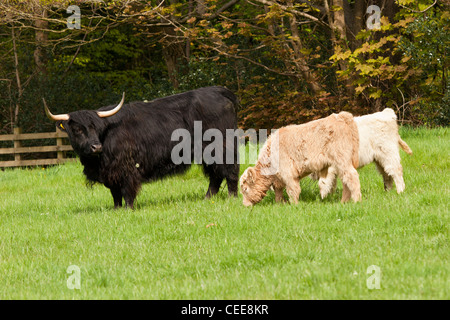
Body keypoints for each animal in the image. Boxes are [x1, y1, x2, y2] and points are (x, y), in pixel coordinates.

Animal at [44, 86, 241, 209]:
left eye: (95, 127)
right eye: (77, 129)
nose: (96, 146)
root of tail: (218, 91)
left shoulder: (127, 167)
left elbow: (127, 190)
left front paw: (128, 208)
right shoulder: (110, 172)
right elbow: (115, 193)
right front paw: (116, 209)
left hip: (222, 147)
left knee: (229, 170)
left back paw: (232, 197)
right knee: (215, 175)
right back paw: (207, 198)